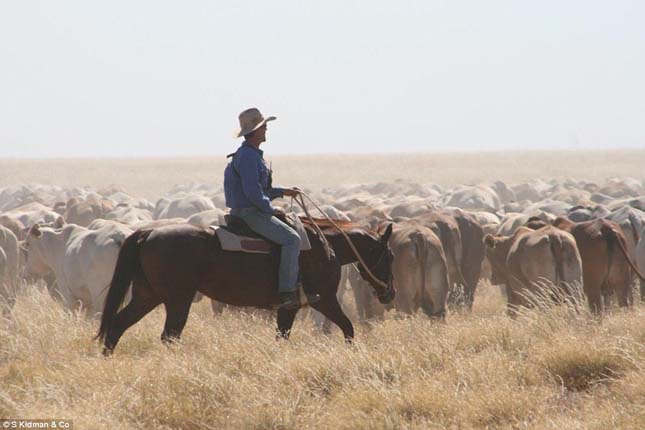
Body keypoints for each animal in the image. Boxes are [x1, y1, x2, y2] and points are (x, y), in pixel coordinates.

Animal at [96, 217, 394, 354]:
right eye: (390, 256)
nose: (390, 293)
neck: (328, 247)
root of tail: (148, 233)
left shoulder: (289, 307)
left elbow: (282, 335)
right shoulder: (325, 300)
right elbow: (348, 327)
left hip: (148, 296)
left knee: (119, 324)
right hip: (177, 299)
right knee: (170, 335)